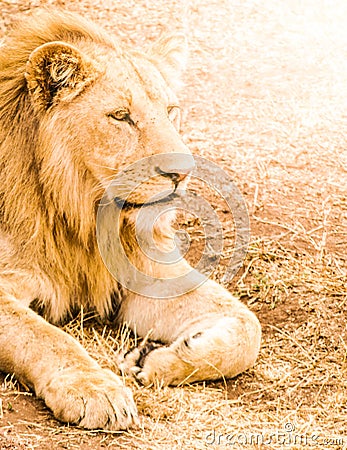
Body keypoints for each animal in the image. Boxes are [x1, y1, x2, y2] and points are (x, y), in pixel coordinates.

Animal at [0, 10, 260, 430]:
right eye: (121, 117)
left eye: (170, 111)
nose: (182, 172)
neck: (81, 216)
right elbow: (44, 336)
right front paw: (95, 390)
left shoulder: (147, 271)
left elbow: (248, 328)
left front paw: (158, 360)